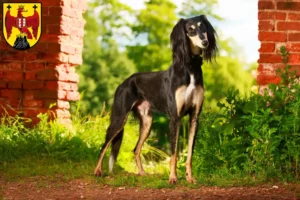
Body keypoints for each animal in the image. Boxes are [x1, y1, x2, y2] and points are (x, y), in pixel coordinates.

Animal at [94, 14, 218, 184]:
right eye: (191, 30)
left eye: (203, 27)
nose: (205, 42)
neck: (190, 67)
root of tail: (124, 82)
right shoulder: (175, 117)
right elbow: (173, 153)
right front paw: (172, 178)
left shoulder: (194, 117)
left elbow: (190, 153)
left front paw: (190, 178)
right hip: (119, 118)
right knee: (104, 145)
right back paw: (97, 171)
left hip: (147, 122)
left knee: (136, 149)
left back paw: (142, 173)